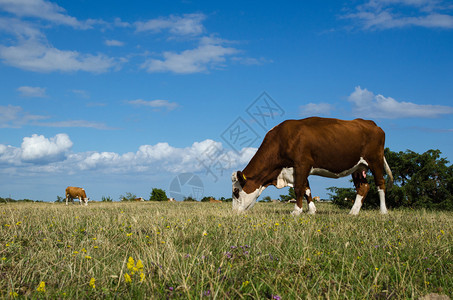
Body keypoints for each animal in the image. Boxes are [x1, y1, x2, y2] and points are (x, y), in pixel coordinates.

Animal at [233, 117, 392, 216]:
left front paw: (296, 211)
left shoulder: (302, 164)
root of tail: (370, 123)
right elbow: (306, 189)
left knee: (380, 183)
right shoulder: (296, 169)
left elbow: (299, 188)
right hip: (358, 167)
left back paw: (383, 211)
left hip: (375, 160)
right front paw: (311, 211)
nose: (234, 212)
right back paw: (353, 212)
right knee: (363, 187)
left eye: (236, 192)